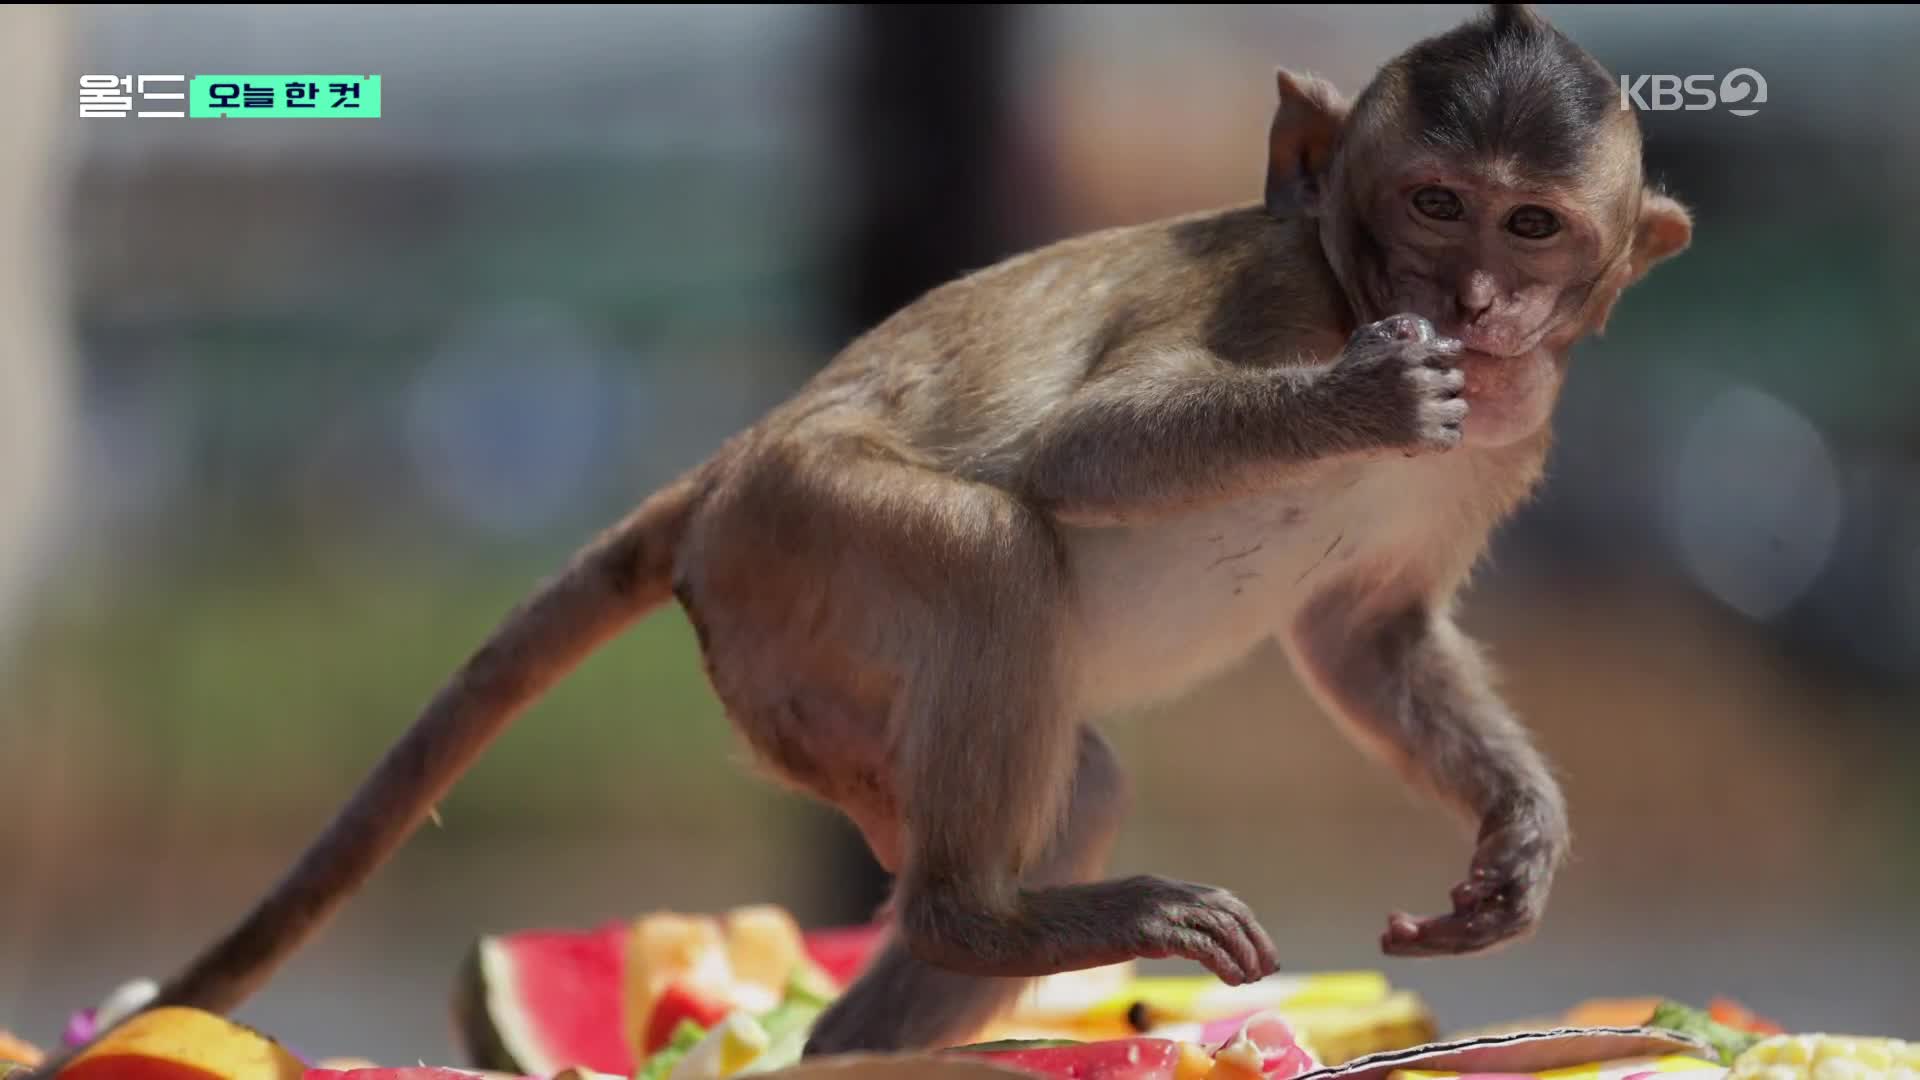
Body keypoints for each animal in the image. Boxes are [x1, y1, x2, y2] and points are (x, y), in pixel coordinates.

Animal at [30, 6, 1689, 1068]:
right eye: (1435, 203)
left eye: (1530, 226)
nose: (1473, 304)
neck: (1354, 282)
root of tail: (724, 472)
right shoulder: (1274, 300)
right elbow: (1078, 450)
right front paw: (1361, 396)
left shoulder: (1513, 437)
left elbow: (1365, 637)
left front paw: (1516, 839)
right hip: (797, 545)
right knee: (986, 547)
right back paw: (977, 919)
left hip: (800, 668)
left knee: (1072, 776)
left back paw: (880, 1015)